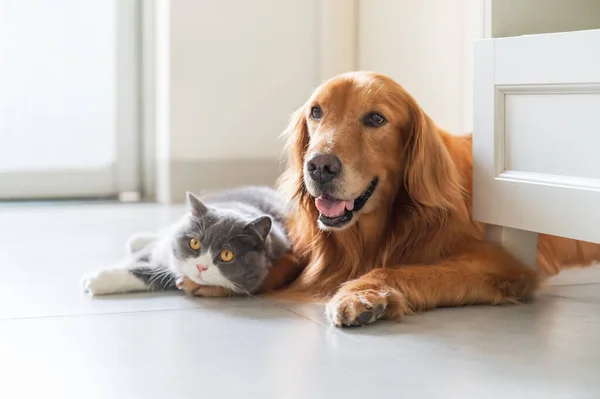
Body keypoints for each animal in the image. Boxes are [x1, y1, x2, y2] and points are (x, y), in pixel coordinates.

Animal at [82, 188, 290, 296]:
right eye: (195, 243)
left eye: (227, 255)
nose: (201, 267)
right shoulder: (163, 247)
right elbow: (139, 258)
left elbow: (153, 274)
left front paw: (96, 280)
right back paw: (138, 239)